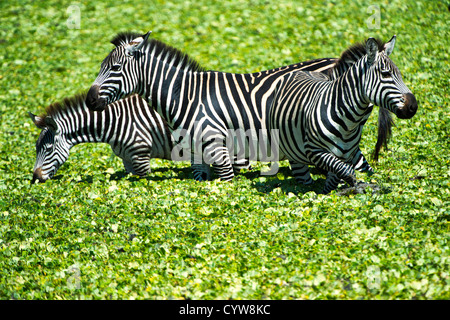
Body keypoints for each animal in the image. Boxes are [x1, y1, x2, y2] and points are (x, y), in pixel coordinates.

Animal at [84, 31, 390, 182]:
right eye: (100, 67)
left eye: (114, 68)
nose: (90, 101)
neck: (185, 94)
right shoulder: (196, 151)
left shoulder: (218, 145)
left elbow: (228, 183)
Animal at [268, 36, 418, 194]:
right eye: (386, 74)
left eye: (400, 74)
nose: (413, 106)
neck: (348, 123)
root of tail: (302, 71)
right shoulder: (314, 150)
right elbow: (346, 172)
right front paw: (355, 188)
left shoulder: (346, 155)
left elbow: (335, 180)